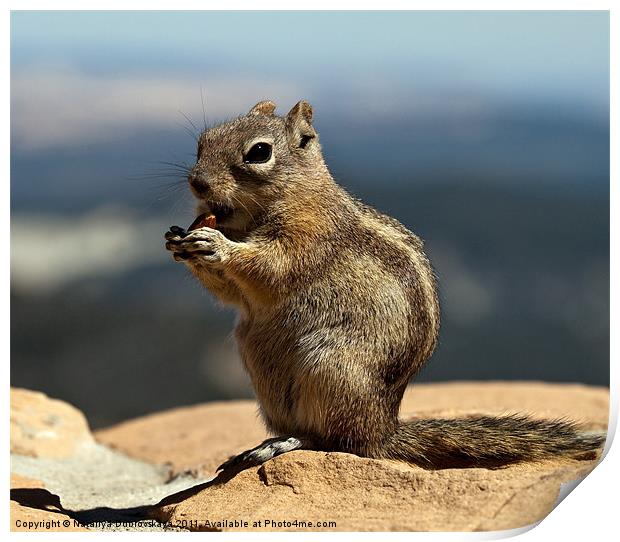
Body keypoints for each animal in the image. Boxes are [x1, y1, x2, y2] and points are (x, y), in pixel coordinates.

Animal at [165, 100, 604, 470]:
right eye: (203, 142)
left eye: (258, 152)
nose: (197, 183)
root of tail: (384, 429)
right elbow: (233, 294)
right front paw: (176, 241)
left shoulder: (309, 238)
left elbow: (270, 266)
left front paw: (216, 245)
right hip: (261, 360)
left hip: (330, 367)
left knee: (336, 441)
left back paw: (284, 444)